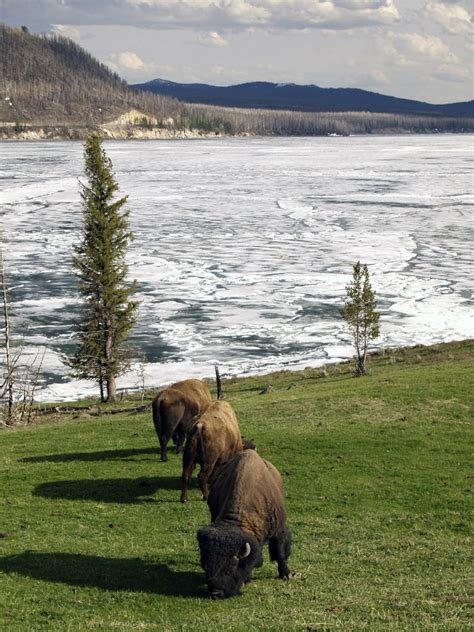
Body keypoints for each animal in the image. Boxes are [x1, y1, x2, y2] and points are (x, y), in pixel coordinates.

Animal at [195, 446, 290, 600]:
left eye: (230, 569)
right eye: (205, 567)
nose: (216, 593)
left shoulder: (279, 531)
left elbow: (280, 553)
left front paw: (286, 574)